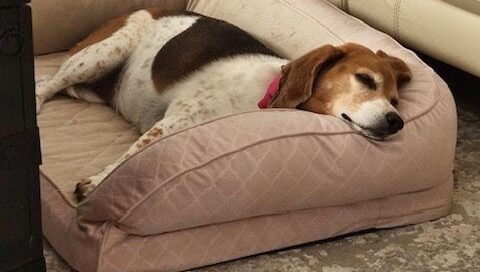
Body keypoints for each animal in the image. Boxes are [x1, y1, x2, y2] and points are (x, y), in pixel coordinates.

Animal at [35, 9, 412, 202]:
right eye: (365, 80)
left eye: (395, 100)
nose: (397, 121)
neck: (265, 97)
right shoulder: (175, 120)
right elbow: (135, 153)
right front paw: (99, 181)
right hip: (104, 52)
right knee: (45, 85)